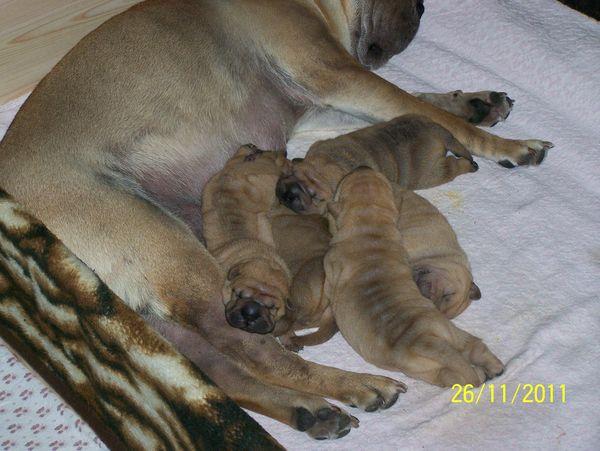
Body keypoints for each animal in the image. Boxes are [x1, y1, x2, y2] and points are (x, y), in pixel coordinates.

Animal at [276, 114, 478, 215]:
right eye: (289, 172)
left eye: (315, 197)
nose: (289, 193)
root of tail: (434, 128)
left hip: (431, 173)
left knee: (453, 165)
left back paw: (467, 165)